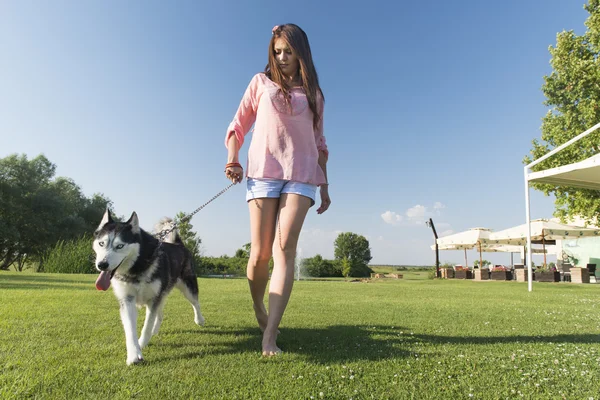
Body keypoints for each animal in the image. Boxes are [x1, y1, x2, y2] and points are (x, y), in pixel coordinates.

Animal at [92, 209, 205, 366]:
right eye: (101, 243)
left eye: (120, 246)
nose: (102, 265)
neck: (136, 267)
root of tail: (178, 244)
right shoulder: (127, 300)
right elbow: (130, 329)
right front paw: (134, 354)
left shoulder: (153, 299)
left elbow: (146, 326)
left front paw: (142, 343)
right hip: (162, 293)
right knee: (161, 314)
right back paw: (155, 331)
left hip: (187, 287)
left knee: (195, 303)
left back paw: (199, 320)